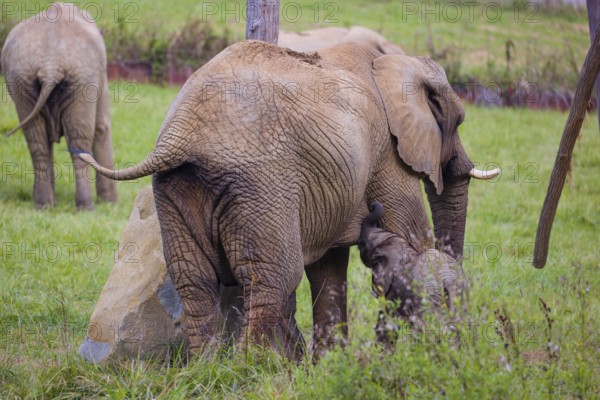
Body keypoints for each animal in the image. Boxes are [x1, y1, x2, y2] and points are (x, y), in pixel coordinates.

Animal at [1, 2, 116, 209]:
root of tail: (50, 65)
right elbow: (102, 127)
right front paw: (111, 205)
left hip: (22, 80)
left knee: (37, 142)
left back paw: (44, 205)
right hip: (82, 80)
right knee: (79, 141)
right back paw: (86, 208)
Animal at [82, 40, 500, 358]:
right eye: (458, 121)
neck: (393, 58)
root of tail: (180, 136)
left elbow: (330, 266)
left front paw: (331, 365)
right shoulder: (386, 153)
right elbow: (410, 235)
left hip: (175, 190)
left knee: (195, 280)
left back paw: (206, 368)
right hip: (261, 186)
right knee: (272, 279)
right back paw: (252, 372)